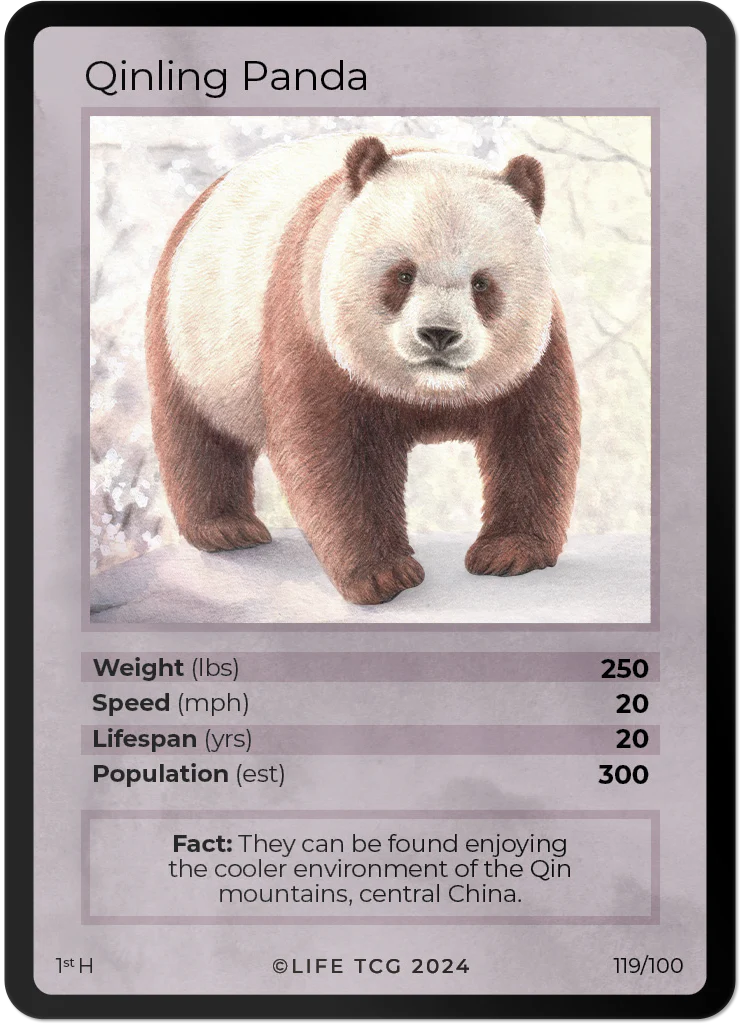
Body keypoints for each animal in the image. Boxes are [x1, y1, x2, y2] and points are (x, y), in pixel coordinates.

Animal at [146, 134, 581, 605]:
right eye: (403, 275)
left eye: (481, 283)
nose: (439, 335)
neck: (429, 392)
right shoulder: (313, 328)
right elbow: (331, 455)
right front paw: (382, 576)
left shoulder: (534, 352)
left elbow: (533, 437)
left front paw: (510, 552)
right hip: (191, 334)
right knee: (195, 434)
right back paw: (226, 528)